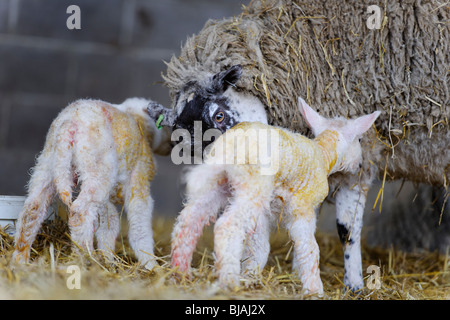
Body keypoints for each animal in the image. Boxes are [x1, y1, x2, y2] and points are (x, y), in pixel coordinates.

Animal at [12, 97, 171, 268]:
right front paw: (150, 264)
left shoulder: (107, 198)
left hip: (49, 165)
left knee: (33, 209)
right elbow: (139, 224)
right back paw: (87, 259)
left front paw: (108, 258)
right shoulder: (139, 178)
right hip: (97, 169)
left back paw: (20, 260)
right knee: (80, 213)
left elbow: (109, 224)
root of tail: (69, 125)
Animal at [171, 98, 378, 296]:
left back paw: (180, 272)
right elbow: (308, 247)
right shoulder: (302, 207)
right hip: (253, 186)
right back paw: (229, 281)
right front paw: (314, 290)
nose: (360, 165)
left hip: (217, 184)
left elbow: (259, 246)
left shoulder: (266, 211)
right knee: (227, 226)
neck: (323, 153)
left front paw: (251, 276)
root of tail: (227, 148)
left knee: (188, 221)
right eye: (359, 139)